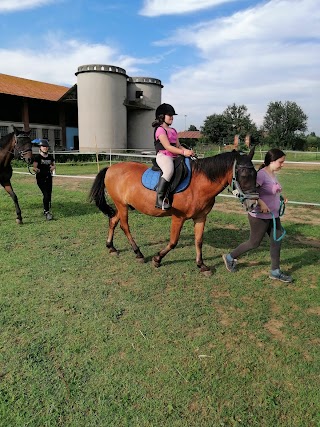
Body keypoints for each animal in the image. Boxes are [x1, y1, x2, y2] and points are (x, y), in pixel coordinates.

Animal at [89, 148, 258, 274]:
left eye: (256, 174)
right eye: (243, 175)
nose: (253, 204)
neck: (198, 184)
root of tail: (111, 168)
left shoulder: (201, 217)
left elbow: (199, 241)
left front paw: (202, 265)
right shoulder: (178, 217)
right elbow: (173, 242)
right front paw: (157, 259)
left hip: (121, 205)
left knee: (113, 220)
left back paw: (111, 247)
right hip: (122, 205)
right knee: (125, 226)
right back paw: (138, 253)